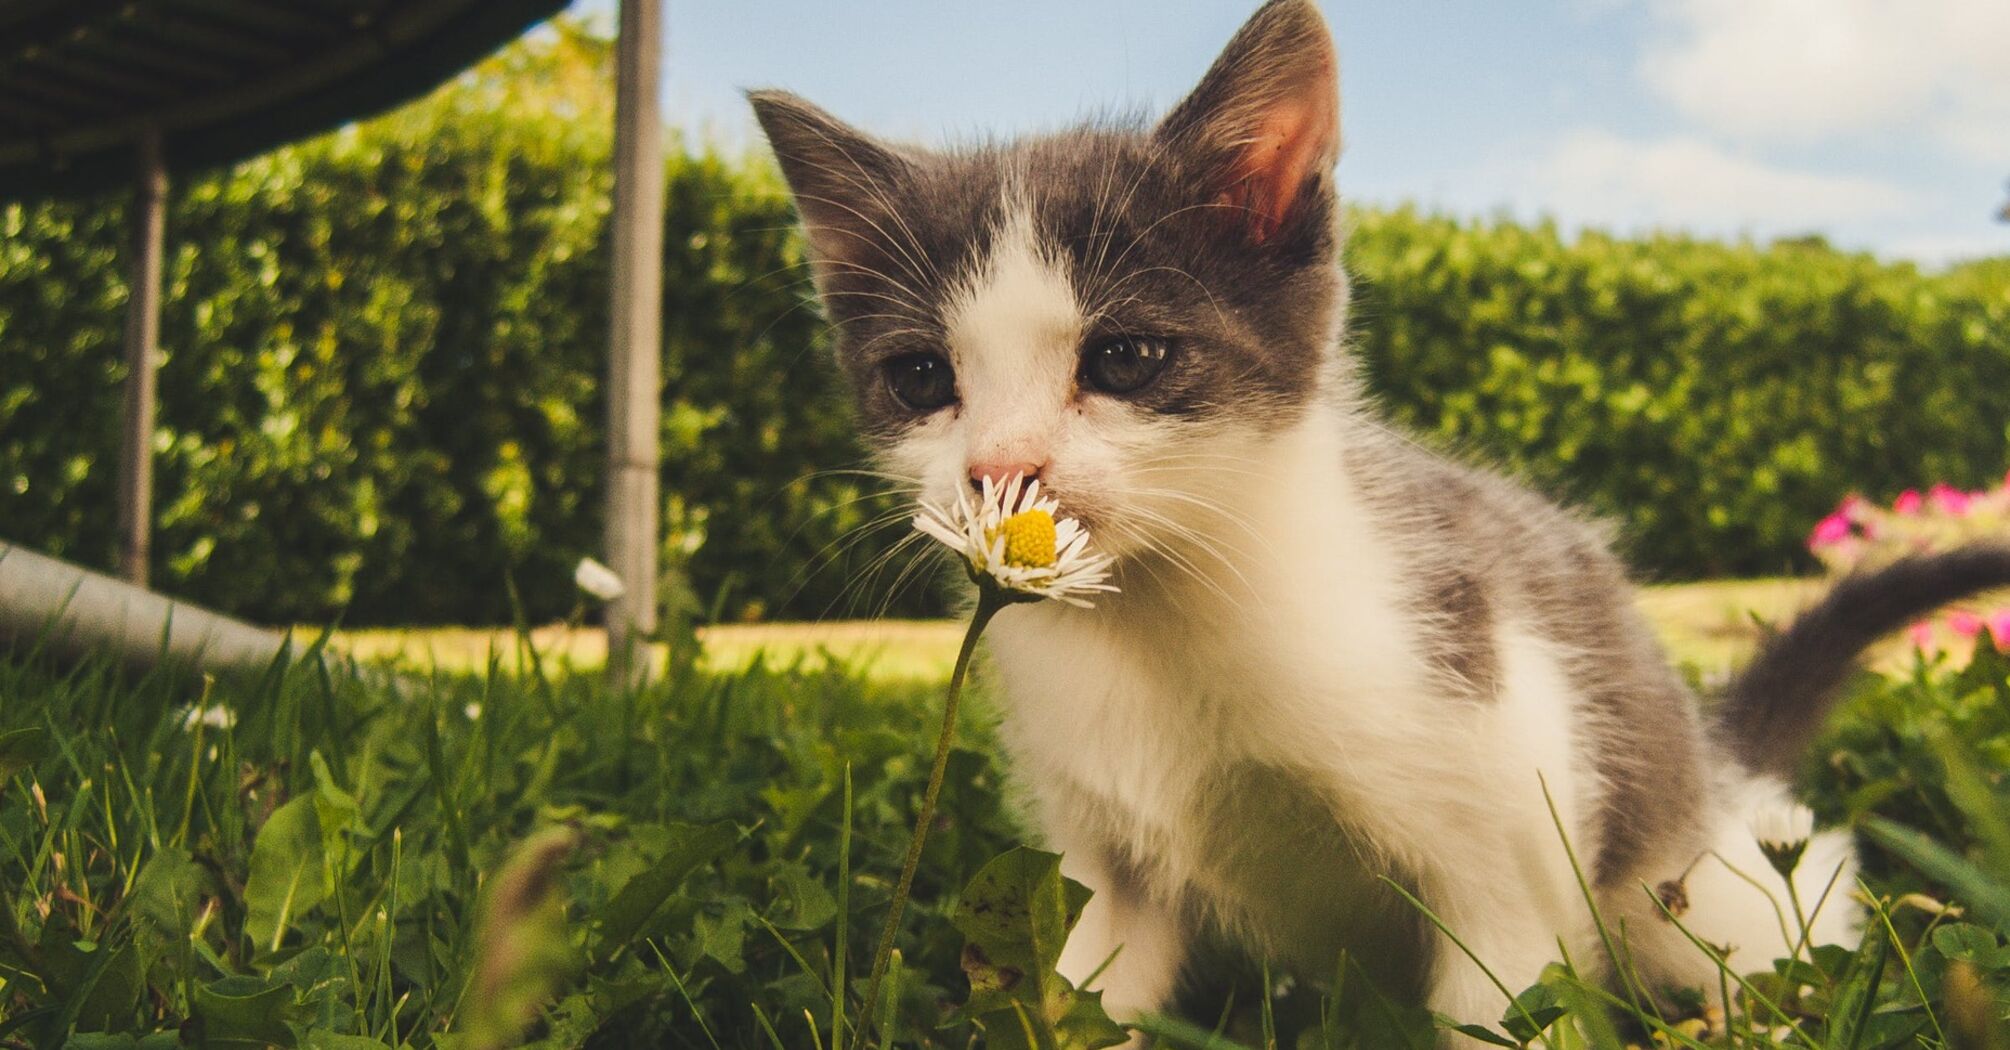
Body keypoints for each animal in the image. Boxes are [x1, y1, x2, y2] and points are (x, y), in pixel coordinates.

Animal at [751, 2, 2010, 1037]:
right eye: (921, 378)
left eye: (1125, 359)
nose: (1000, 472)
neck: (1163, 622)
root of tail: (1716, 759)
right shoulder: (1102, 872)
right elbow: (1090, 993)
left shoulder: (1505, 832)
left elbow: (1503, 996)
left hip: (1701, 890)